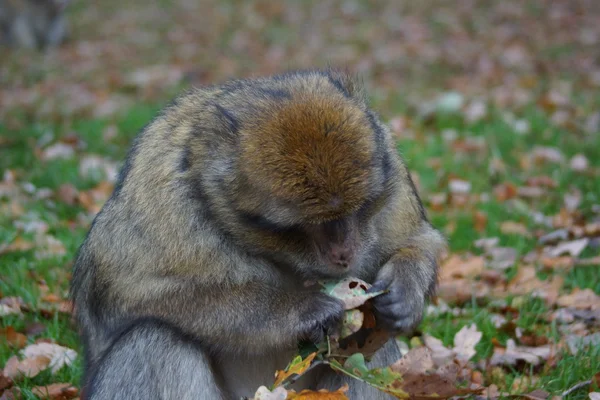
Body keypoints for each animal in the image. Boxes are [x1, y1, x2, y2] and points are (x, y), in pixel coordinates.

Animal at [70, 70, 446, 398]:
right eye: (300, 227)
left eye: (361, 206)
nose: (344, 253)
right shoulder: (162, 196)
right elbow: (130, 294)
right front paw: (303, 311)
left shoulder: (390, 161)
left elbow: (417, 239)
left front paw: (404, 290)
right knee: (154, 337)